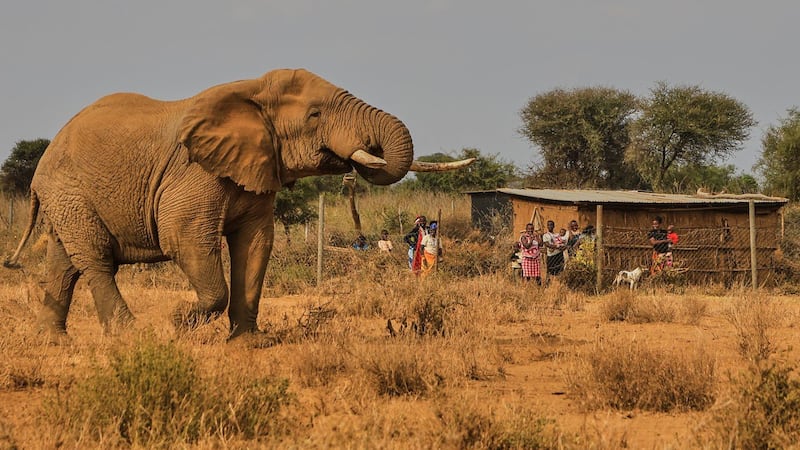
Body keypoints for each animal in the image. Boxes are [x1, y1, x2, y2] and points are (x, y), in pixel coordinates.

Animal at [5, 68, 473, 340]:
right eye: (315, 115)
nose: (353, 166)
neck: (251, 91)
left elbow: (256, 243)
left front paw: (249, 342)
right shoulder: (194, 172)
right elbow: (185, 239)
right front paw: (177, 324)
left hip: (68, 197)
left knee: (65, 262)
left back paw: (52, 341)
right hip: (69, 190)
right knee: (96, 260)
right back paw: (130, 337)